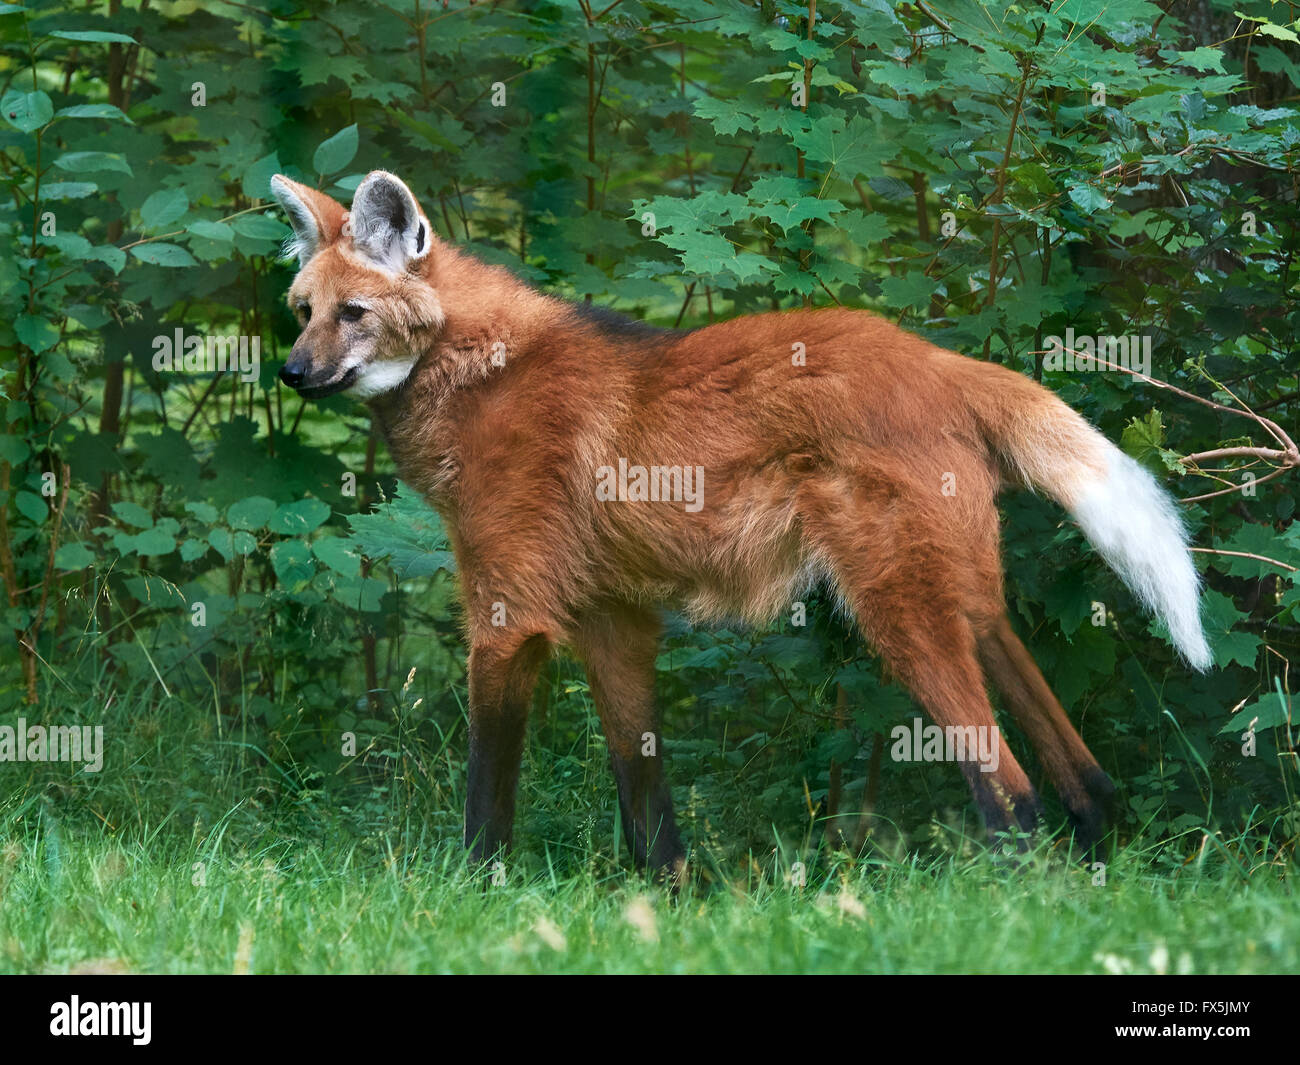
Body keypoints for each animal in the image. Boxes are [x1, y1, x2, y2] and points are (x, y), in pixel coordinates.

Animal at [269, 170, 1211, 879]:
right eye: (302, 310)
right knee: (1080, 772)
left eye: (353, 314)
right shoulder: (613, 616)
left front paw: (474, 894)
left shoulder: (509, 621)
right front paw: (670, 904)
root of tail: (941, 361)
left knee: (1010, 794)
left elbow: (487, 802)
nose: (290, 373)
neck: (470, 369)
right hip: (959, 591)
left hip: (895, 609)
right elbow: (646, 797)